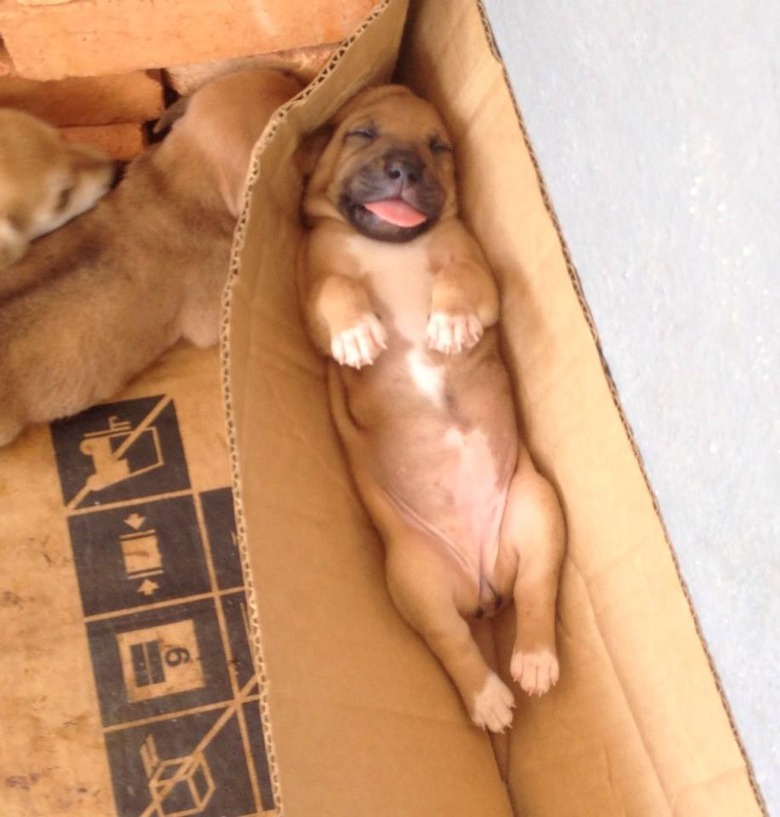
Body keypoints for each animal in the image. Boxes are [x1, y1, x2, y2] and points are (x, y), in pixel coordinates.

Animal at [300, 84, 568, 732]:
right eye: (361, 133)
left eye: (438, 146)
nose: (406, 169)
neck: (392, 247)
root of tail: (482, 583)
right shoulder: (311, 297)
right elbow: (336, 288)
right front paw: (358, 335)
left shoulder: (478, 271)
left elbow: (459, 277)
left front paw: (449, 323)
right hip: (417, 582)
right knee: (455, 646)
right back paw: (488, 697)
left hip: (537, 509)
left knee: (536, 592)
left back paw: (533, 660)